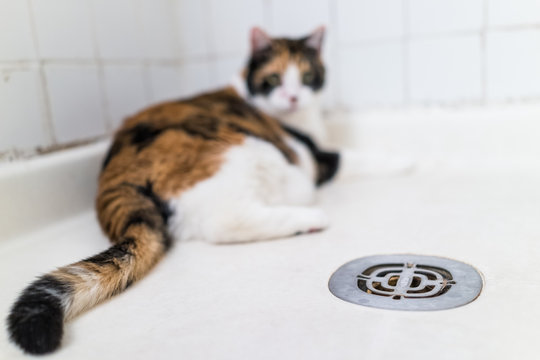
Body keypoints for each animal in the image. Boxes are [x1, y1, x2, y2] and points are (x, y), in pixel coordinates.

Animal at [7, 26, 338, 352]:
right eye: (273, 79)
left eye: (308, 76)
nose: (293, 97)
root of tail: (115, 178)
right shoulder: (315, 156)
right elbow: (342, 158)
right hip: (253, 156)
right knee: (226, 222)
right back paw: (311, 219)